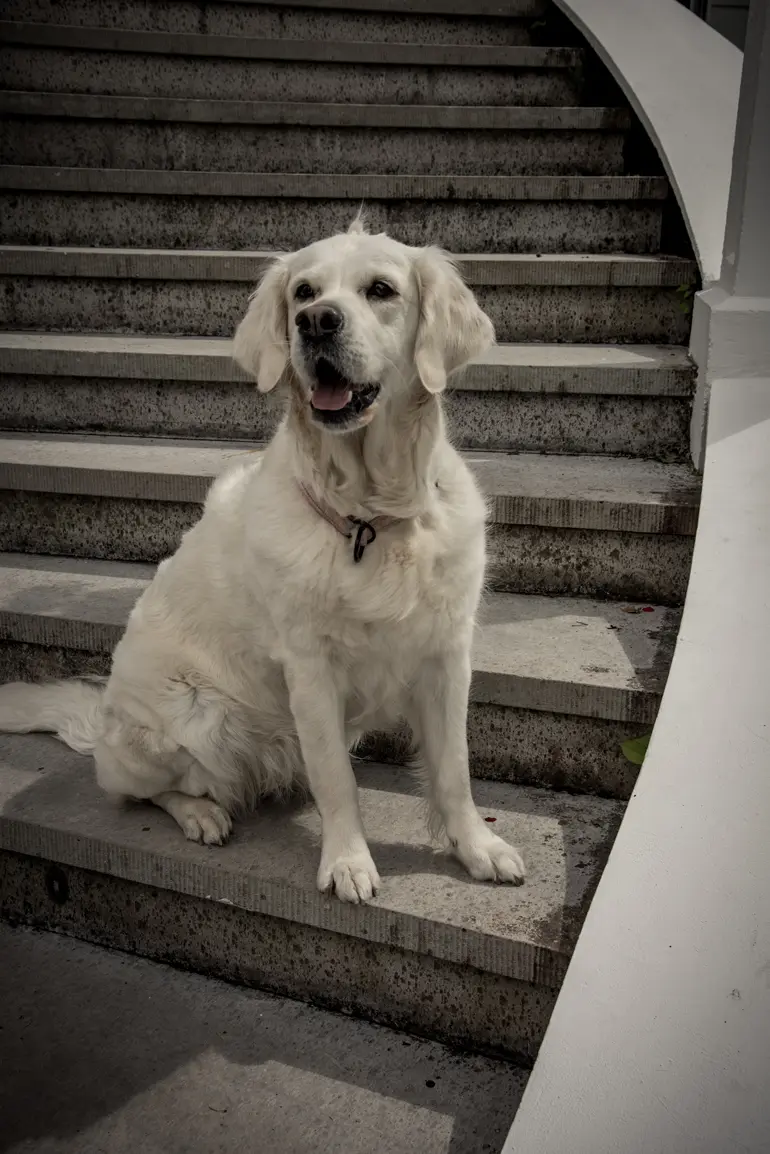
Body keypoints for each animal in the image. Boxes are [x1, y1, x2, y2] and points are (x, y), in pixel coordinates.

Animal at [0, 222, 524, 900]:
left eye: (381, 289)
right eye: (303, 291)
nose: (317, 322)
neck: (370, 517)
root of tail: (102, 725)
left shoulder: (446, 654)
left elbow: (454, 770)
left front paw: (477, 847)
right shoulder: (310, 667)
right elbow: (336, 779)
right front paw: (348, 861)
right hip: (192, 716)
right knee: (137, 790)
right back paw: (201, 814)